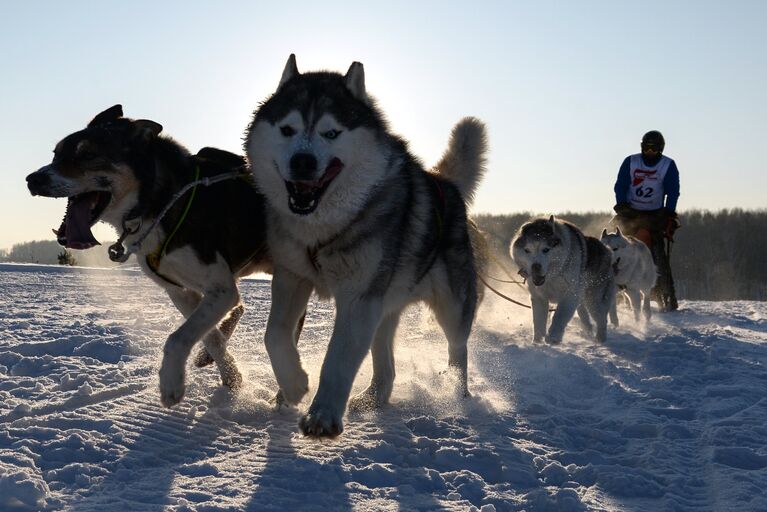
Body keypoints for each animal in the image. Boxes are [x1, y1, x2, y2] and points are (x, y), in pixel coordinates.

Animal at [26, 105, 272, 408]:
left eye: (88, 155)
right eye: (56, 154)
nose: (33, 180)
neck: (162, 202)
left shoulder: (221, 289)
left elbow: (177, 339)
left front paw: (171, 383)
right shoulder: (182, 292)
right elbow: (210, 338)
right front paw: (231, 376)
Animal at [244, 57, 486, 440]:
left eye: (331, 133)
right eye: (287, 129)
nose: (302, 161)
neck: (327, 227)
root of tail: (444, 183)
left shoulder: (358, 299)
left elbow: (337, 360)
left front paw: (322, 416)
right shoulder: (291, 278)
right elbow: (274, 336)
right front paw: (294, 385)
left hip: (451, 307)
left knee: (457, 350)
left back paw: (455, 396)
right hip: (384, 310)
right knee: (386, 365)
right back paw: (373, 398)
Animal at [510, 216, 616, 344]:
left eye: (546, 249)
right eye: (527, 250)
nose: (535, 267)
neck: (552, 277)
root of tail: (607, 249)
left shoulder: (569, 296)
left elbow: (559, 317)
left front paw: (553, 337)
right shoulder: (539, 298)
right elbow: (538, 321)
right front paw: (537, 342)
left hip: (594, 300)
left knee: (601, 319)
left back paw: (600, 339)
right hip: (582, 302)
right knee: (585, 317)